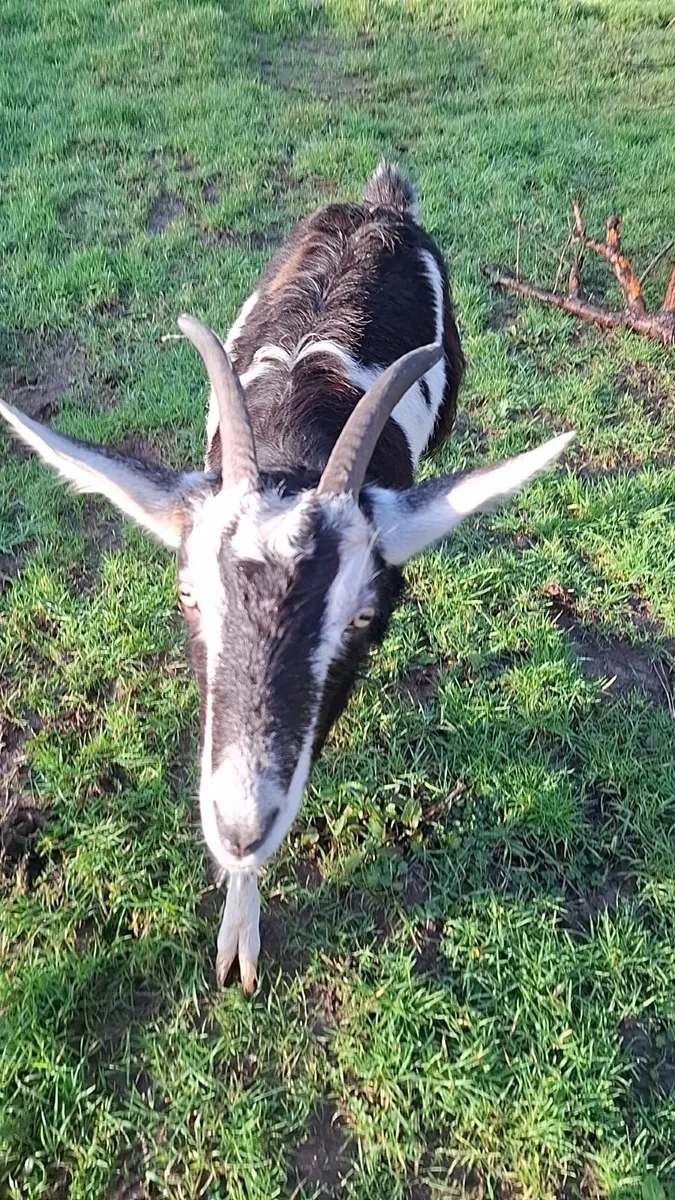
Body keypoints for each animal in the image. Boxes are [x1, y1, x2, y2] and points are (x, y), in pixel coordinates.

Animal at [0, 163, 574, 992]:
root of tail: (377, 204)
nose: (240, 826)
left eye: (365, 618)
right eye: (187, 596)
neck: (298, 439)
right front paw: (238, 926)